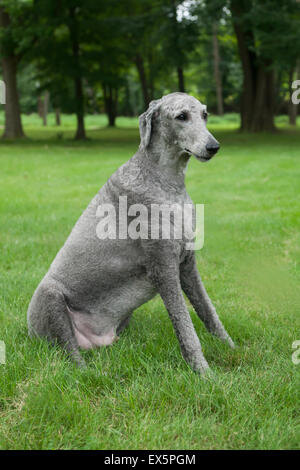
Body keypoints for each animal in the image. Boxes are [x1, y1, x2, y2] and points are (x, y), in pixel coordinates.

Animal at [27, 92, 234, 374]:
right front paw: (204, 373)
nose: (214, 146)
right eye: (181, 116)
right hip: (51, 297)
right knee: (70, 354)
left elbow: (208, 311)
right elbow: (185, 327)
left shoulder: (187, 264)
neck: (166, 182)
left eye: (205, 115)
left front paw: (230, 347)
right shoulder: (163, 267)